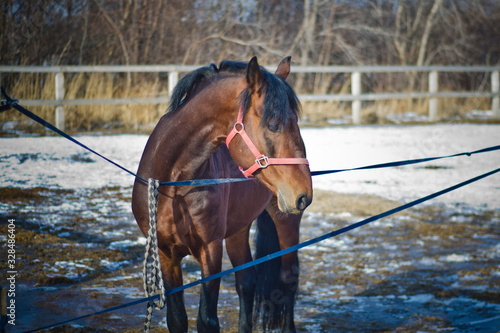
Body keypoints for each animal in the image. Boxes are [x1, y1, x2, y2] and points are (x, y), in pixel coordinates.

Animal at [133, 57, 312, 332]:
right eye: (274, 125)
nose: (304, 194)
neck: (173, 188)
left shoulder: (210, 249)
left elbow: (207, 320)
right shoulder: (165, 253)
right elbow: (177, 319)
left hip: (285, 220)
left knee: (288, 280)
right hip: (239, 228)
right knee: (246, 281)